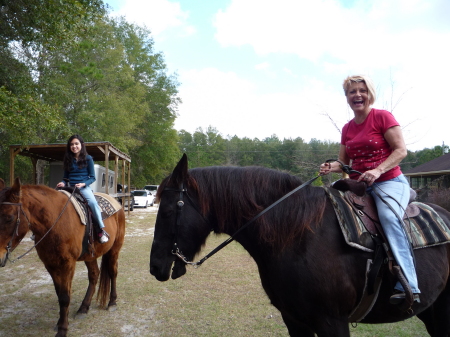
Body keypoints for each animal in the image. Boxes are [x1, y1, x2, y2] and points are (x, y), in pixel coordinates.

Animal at [0, 177, 125, 334]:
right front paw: (60, 322)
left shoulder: (68, 264)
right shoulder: (50, 264)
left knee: (113, 272)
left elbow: (65, 297)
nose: (0, 257)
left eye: (9, 218)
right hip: (90, 255)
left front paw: (63, 329)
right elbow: (59, 294)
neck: (55, 222)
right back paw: (83, 308)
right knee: (94, 275)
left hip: (114, 249)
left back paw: (112, 302)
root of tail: (116, 203)